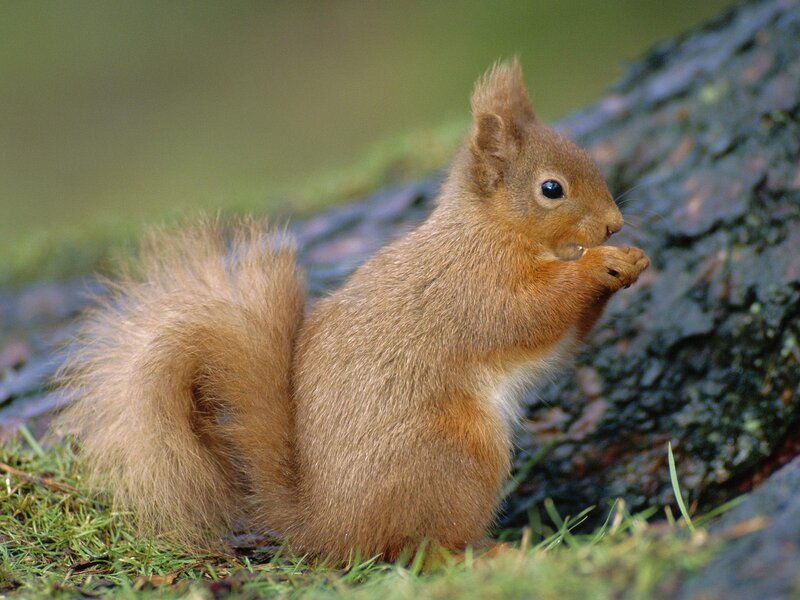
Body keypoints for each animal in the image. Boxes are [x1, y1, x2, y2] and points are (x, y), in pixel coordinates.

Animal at [59, 60, 649, 562]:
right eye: (552, 188)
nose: (614, 225)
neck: (490, 230)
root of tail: (329, 527)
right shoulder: (476, 289)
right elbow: (532, 313)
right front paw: (599, 265)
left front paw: (632, 261)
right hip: (455, 455)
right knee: (416, 549)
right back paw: (490, 553)